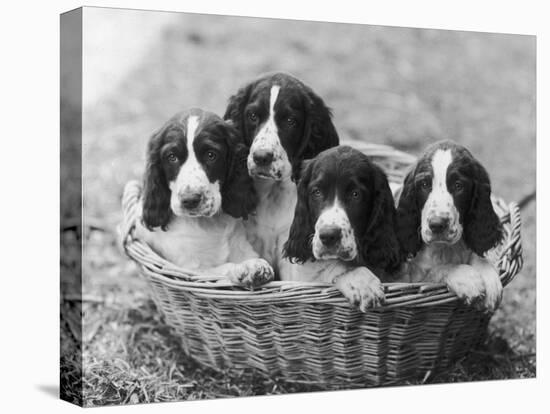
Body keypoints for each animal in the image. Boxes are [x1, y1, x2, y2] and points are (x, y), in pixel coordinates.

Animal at [134, 108, 276, 290]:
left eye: (211, 155)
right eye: (172, 157)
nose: (190, 200)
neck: (209, 224)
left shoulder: (242, 247)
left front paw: (254, 265)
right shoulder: (191, 269)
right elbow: (221, 268)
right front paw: (246, 268)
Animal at [396, 140, 504, 310]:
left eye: (458, 185)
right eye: (424, 184)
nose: (437, 224)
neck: (445, 249)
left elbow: (477, 255)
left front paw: (489, 278)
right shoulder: (411, 279)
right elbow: (436, 271)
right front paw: (466, 278)